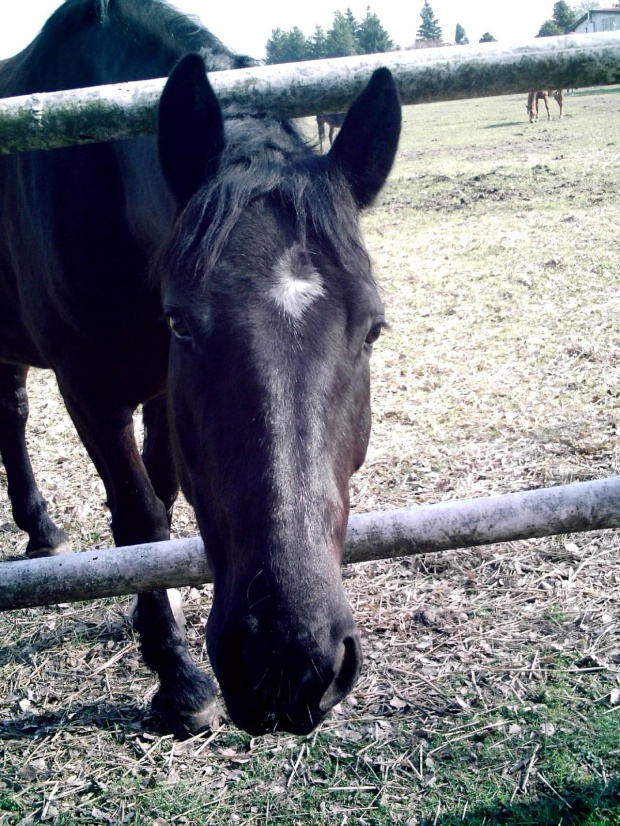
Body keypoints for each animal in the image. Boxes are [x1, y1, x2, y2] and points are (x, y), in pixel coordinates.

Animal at [0, 0, 402, 732]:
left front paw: (150, 617)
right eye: (184, 322)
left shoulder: (163, 390)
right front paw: (178, 680)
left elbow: (159, 500)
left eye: (372, 329)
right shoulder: (88, 388)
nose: (288, 660)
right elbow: (139, 517)